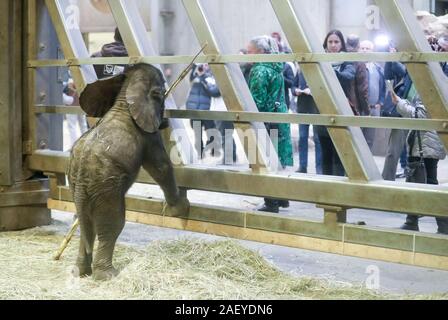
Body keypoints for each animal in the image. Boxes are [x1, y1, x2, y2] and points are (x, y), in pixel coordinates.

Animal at [68, 63, 189, 282]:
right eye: (162, 93)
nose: (165, 120)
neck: (125, 97)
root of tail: (80, 180)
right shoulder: (148, 135)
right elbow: (160, 167)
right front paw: (181, 208)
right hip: (106, 186)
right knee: (112, 224)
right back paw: (107, 275)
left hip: (78, 186)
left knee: (84, 225)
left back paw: (81, 272)